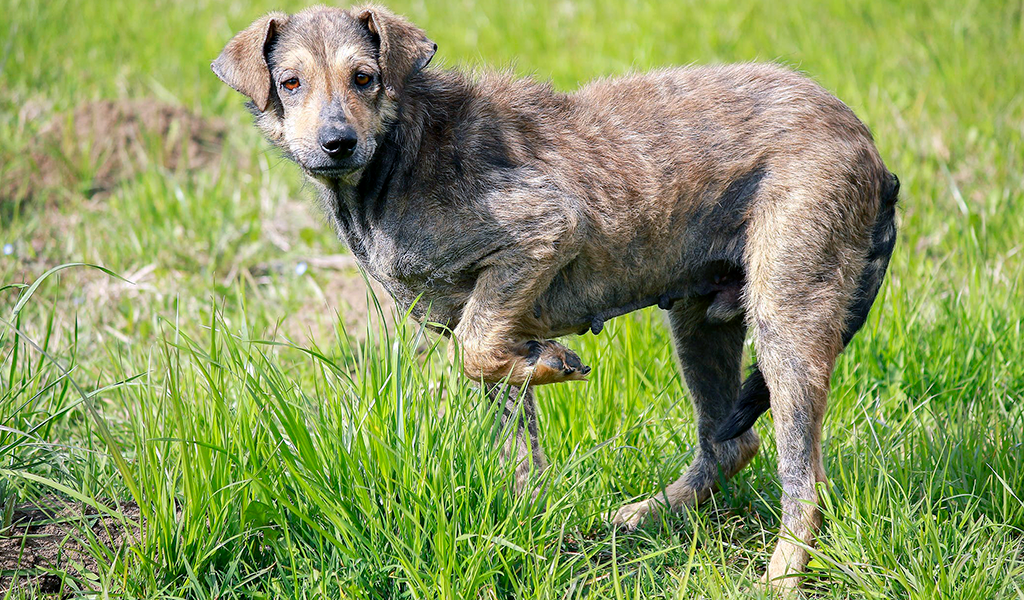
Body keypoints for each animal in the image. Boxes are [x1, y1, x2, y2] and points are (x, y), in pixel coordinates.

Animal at [214, 4, 897, 589]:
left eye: (365, 77)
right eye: (291, 82)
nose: (337, 143)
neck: (396, 156)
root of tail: (869, 146)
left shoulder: (543, 229)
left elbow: (473, 349)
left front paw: (554, 363)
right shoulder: (494, 322)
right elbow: (514, 435)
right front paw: (527, 530)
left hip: (787, 317)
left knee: (804, 481)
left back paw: (781, 573)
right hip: (699, 320)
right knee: (731, 442)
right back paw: (649, 514)